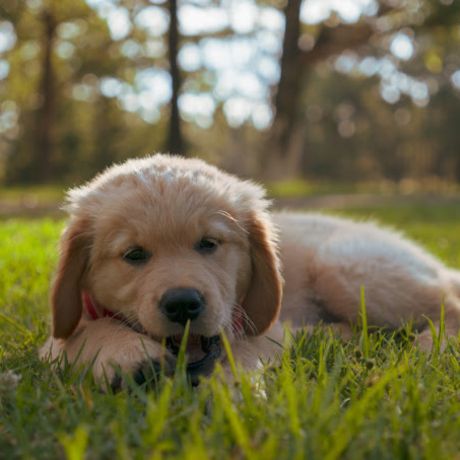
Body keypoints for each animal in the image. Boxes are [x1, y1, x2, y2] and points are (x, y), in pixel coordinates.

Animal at [38, 155, 460, 388]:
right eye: (134, 254)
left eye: (209, 244)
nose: (183, 304)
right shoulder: (59, 335)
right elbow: (81, 335)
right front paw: (129, 356)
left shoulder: (259, 326)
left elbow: (241, 353)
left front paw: (230, 391)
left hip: (343, 268)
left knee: (449, 305)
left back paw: (433, 346)